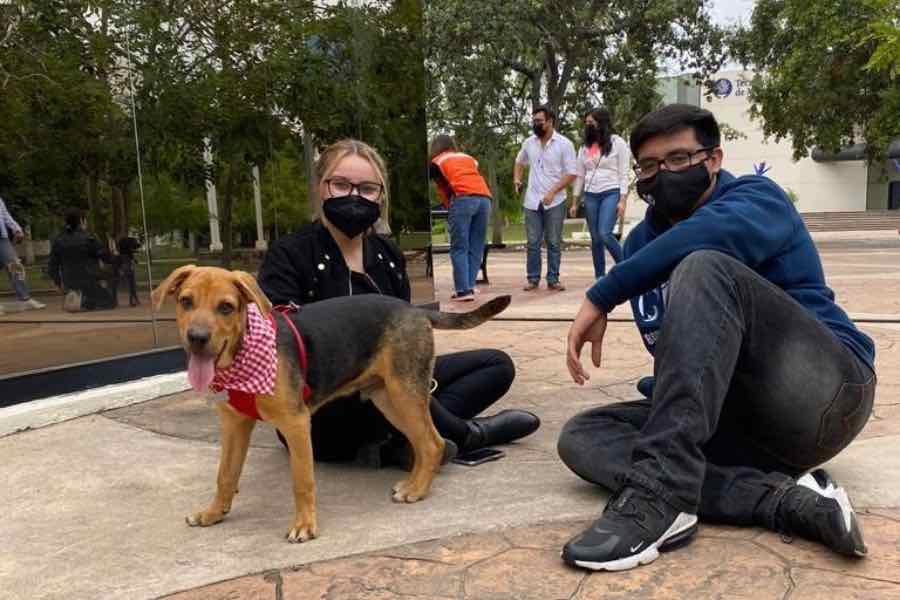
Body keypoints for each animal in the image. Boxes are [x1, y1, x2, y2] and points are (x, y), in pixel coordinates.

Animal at [151, 264, 510, 540]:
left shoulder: (296, 423)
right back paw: (413, 484)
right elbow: (225, 475)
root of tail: (417, 309)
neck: (242, 355)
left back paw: (417, 490)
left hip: (404, 392)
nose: (197, 339)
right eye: (185, 302)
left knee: (433, 444)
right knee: (426, 444)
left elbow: (302, 480)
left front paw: (305, 526)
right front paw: (213, 513)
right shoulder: (234, 424)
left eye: (226, 307)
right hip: (388, 399)